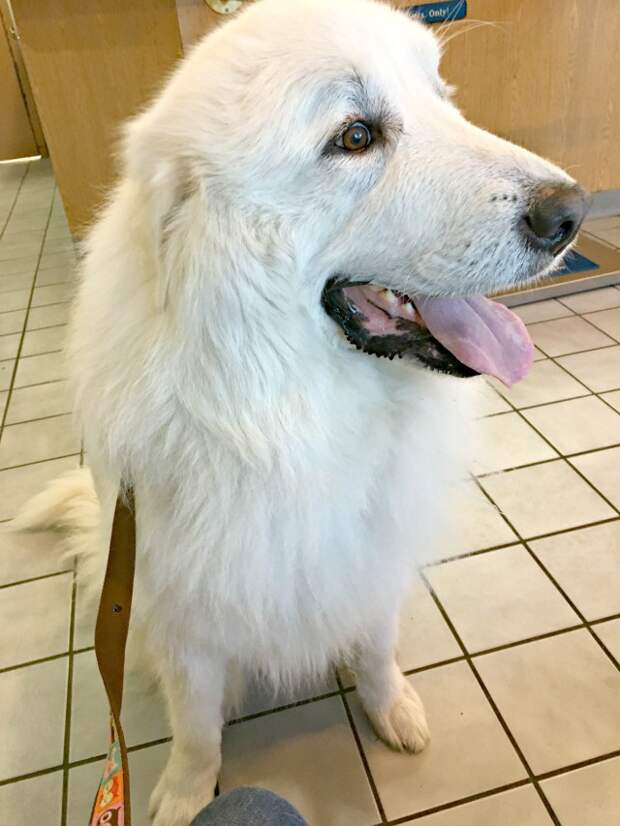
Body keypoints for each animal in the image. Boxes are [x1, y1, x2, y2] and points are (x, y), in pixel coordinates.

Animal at [15, 1, 588, 824]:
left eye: (442, 98)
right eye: (355, 137)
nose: (573, 213)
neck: (286, 420)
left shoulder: (369, 561)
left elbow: (375, 650)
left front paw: (392, 710)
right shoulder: (185, 610)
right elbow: (195, 722)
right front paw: (186, 791)